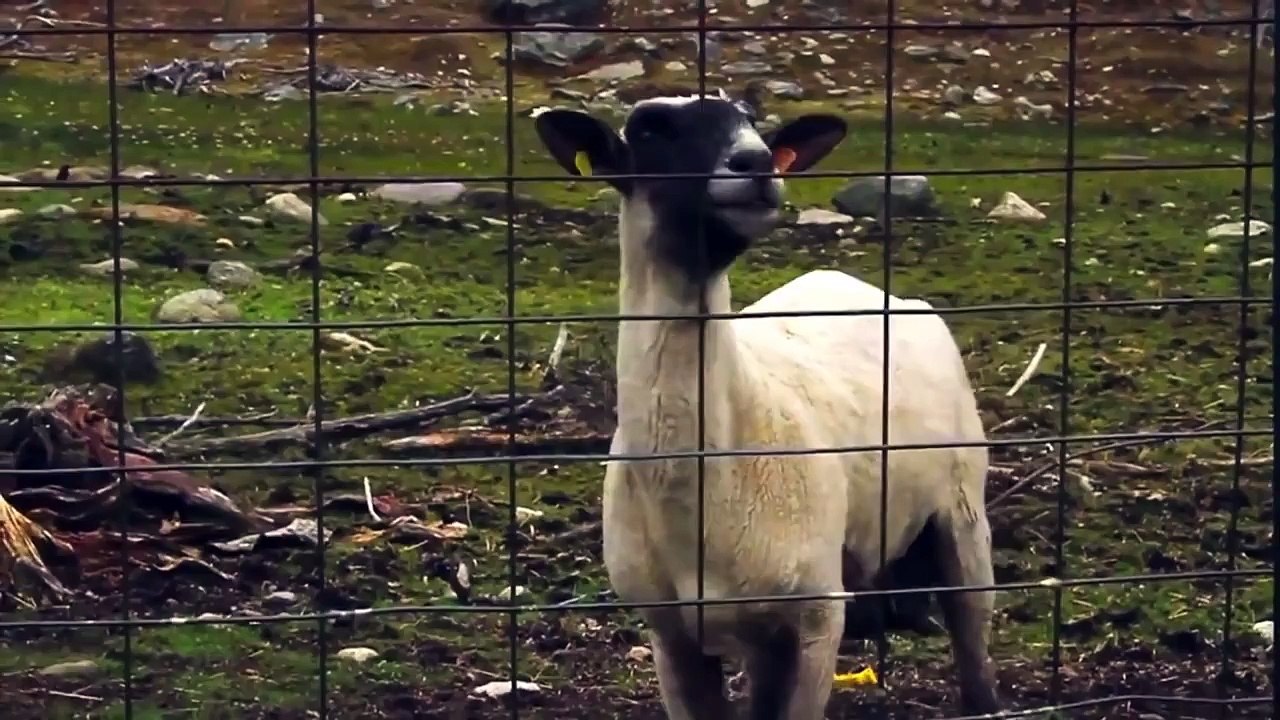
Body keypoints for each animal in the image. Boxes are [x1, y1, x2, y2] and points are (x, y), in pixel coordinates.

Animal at [533, 93, 1002, 719]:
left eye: (752, 123)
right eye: (650, 129)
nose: (755, 164)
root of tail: (859, 285)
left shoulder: (818, 616)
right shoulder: (670, 633)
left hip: (962, 512)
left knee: (973, 640)